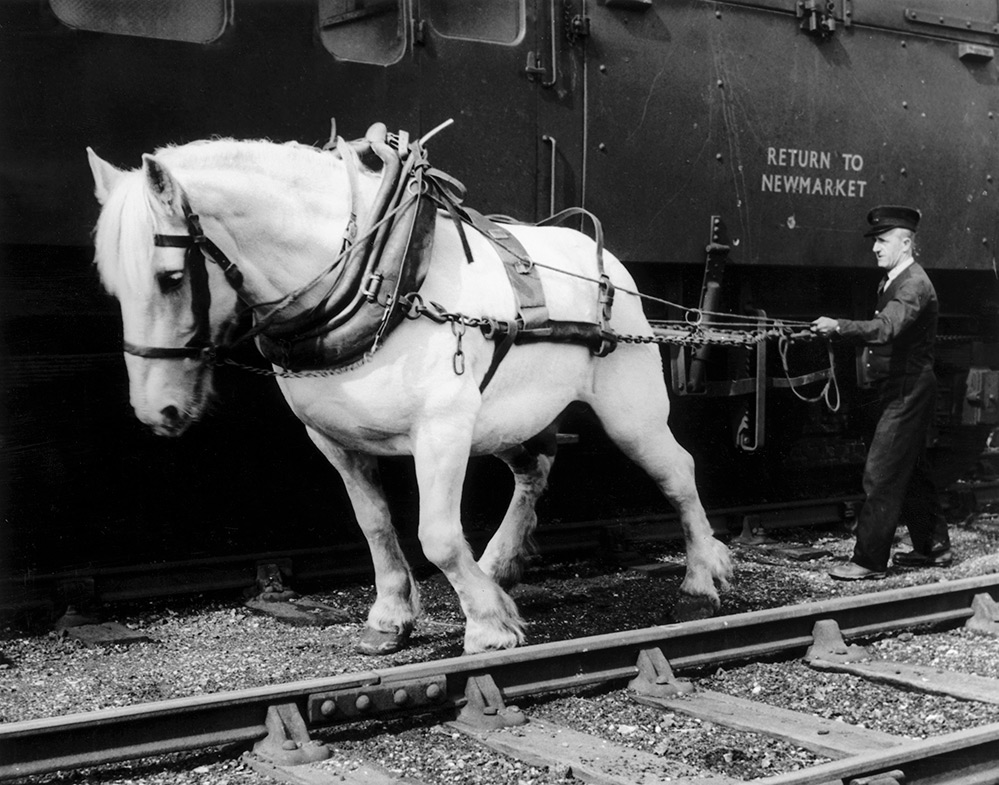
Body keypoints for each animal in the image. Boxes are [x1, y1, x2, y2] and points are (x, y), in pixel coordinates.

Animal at [86, 123, 732, 655]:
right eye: (111, 287)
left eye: (171, 278)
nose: (157, 410)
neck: (377, 274)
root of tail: (602, 257)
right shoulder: (333, 440)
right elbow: (375, 524)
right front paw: (391, 618)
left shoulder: (443, 428)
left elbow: (437, 535)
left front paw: (490, 626)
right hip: (510, 416)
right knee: (535, 470)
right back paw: (498, 565)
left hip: (629, 410)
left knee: (677, 470)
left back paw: (702, 577)